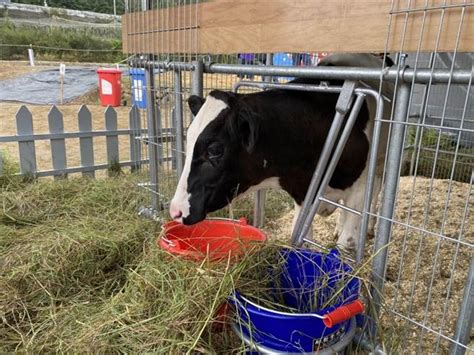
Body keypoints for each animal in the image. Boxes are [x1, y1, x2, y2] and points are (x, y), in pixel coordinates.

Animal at [168, 53, 390, 253]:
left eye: (214, 150)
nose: (175, 210)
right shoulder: (301, 193)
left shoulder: (360, 188)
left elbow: (347, 244)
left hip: (379, 164)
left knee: (375, 192)